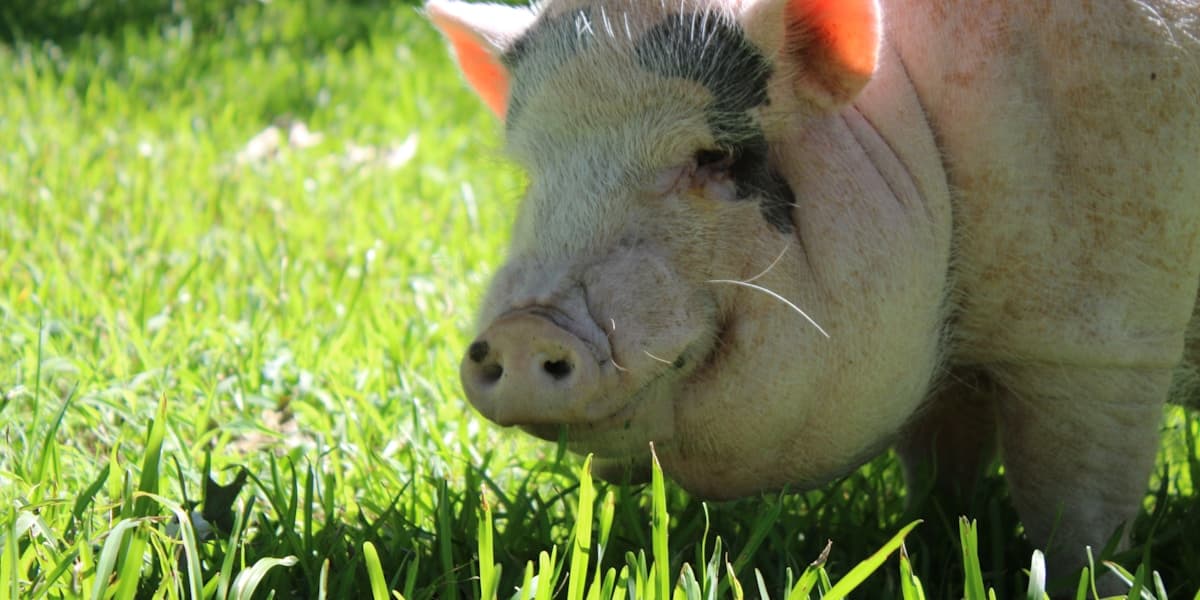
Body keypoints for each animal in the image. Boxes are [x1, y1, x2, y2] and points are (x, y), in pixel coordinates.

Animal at [427, 0, 1200, 586]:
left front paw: (1088, 582)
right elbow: (940, 464)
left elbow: (1078, 514)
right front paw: (929, 541)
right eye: (533, 174)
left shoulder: (1102, 344)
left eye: (713, 156)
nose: (526, 327)